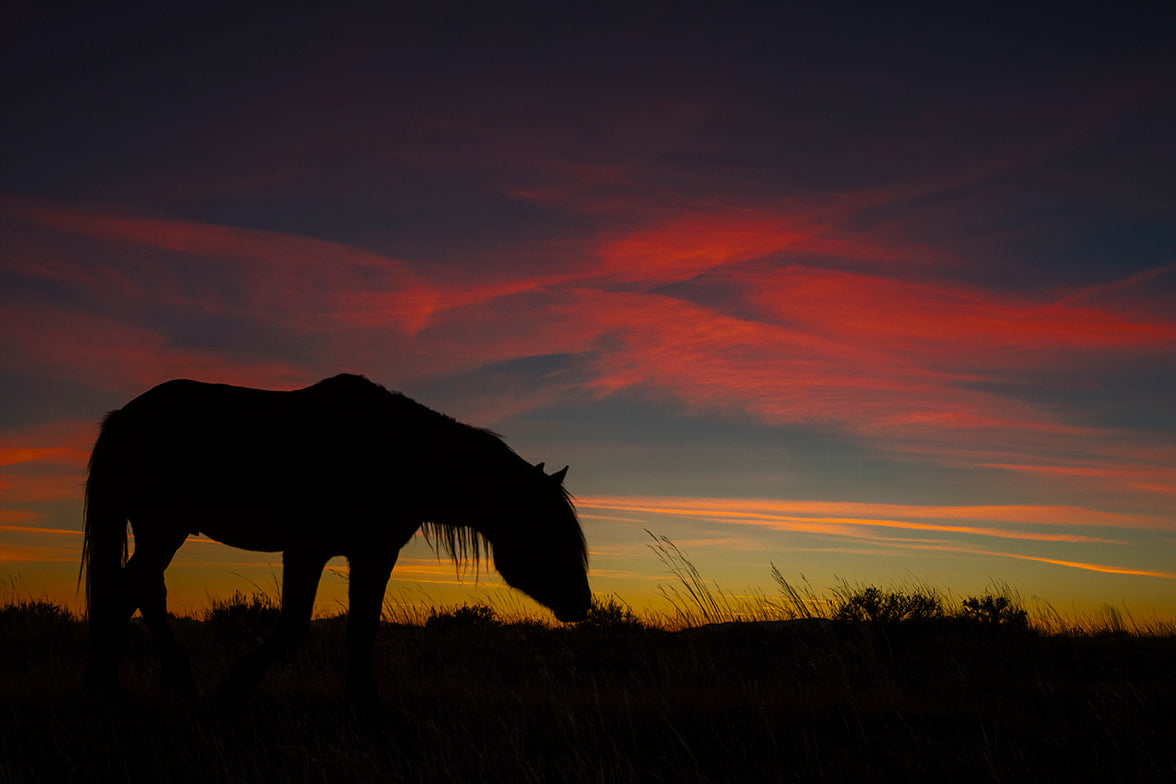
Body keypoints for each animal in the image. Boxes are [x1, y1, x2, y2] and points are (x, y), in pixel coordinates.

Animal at [78, 371, 588, 709]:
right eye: (552, 534)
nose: (582, 605)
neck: (399, 455)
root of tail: (122, 418)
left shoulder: (373, 553)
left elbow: (363, 624)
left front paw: (362, 698)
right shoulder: (308, 549)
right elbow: (295, 624)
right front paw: (234, 685)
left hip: (159, 531)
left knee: (142, 592)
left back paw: (148, 683)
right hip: (163, 529)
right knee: (130, 591)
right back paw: (126, 686)